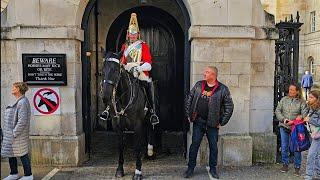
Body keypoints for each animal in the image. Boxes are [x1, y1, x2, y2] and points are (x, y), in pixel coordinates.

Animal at [102, 51, 153, 179]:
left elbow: (137, 147)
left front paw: (138, 171)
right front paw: (120, 170)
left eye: (116, 70)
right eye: (102, 69)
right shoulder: (117, 126)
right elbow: (120, 146)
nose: (106, 96)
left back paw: (149, 152)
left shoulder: (137, 125)